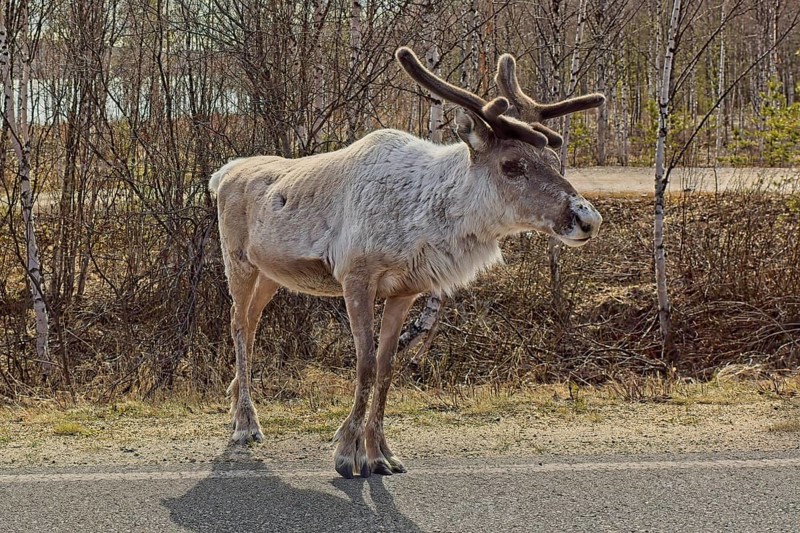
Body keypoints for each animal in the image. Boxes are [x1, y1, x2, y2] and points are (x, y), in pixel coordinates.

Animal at [210, 47, 605, 479]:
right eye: (512, 164)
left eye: (551, 155)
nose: (588, 218)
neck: (426, 217)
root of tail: (222, 174)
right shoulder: (356, 275)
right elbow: (365, 364)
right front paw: (347, 453)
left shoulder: (405, 290)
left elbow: (386, 367)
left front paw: (380, 453)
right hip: (238, 261)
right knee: (237, 326)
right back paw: (246, 424)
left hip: (271, 275)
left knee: (250, 325)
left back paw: (236, 404)